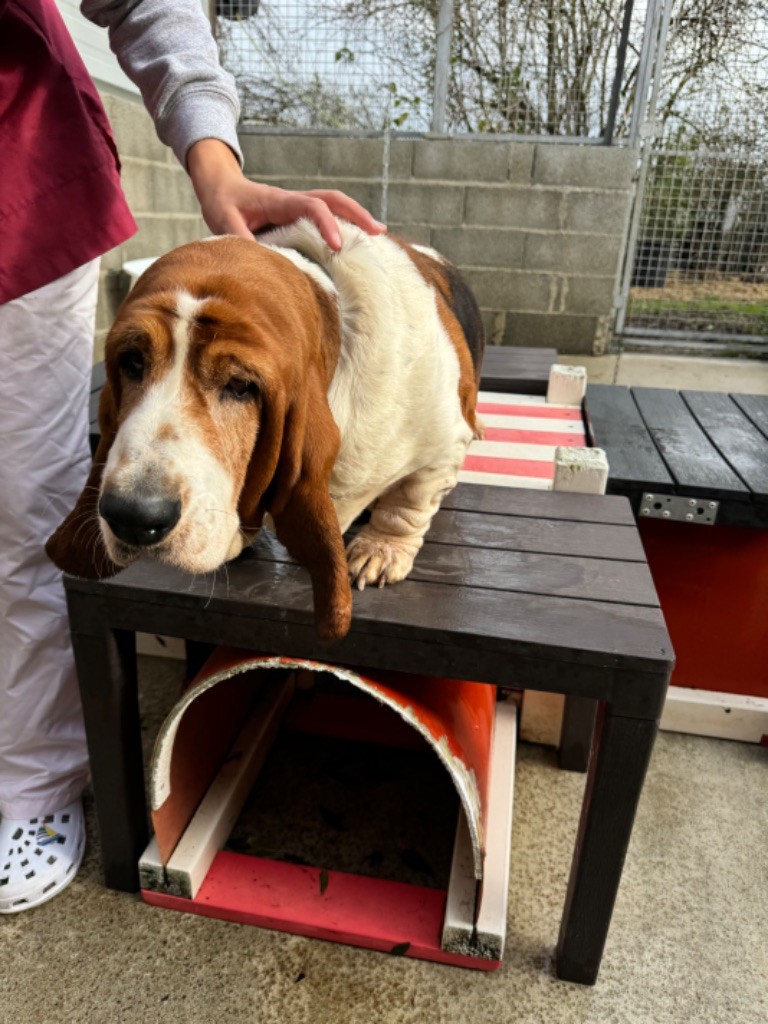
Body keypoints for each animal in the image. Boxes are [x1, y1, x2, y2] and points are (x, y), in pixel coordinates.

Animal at [45, 220, 483, 638]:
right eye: (133, 361)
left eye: (241, 386)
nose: (133, 517)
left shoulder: (443, 445)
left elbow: (408, 502)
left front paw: (381, 550)